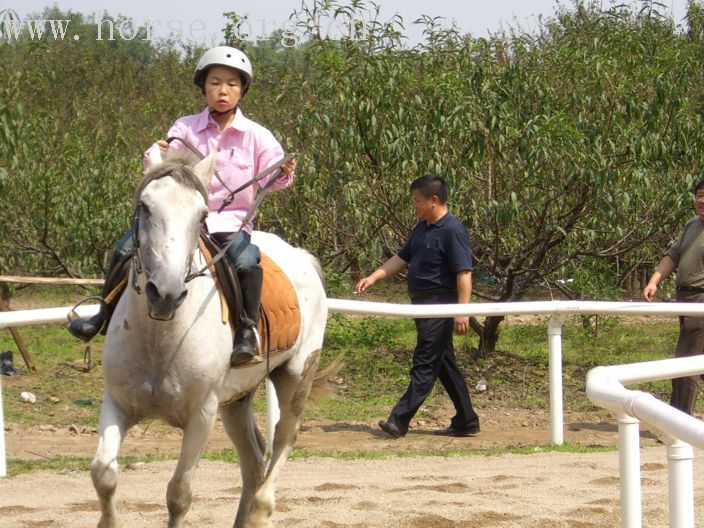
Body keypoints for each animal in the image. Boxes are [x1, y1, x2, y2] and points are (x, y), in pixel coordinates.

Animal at [89, 148, 328, 528]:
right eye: (145, 206)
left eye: (201, 214)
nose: (166, 294)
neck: (159, 339)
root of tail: (301, 258)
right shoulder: (117, 403)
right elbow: (104, 475)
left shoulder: (202, 415)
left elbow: (179, 494)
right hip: (236, 400)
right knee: (254, 460)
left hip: (295, 376)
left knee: (283, 439)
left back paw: (261, 512)